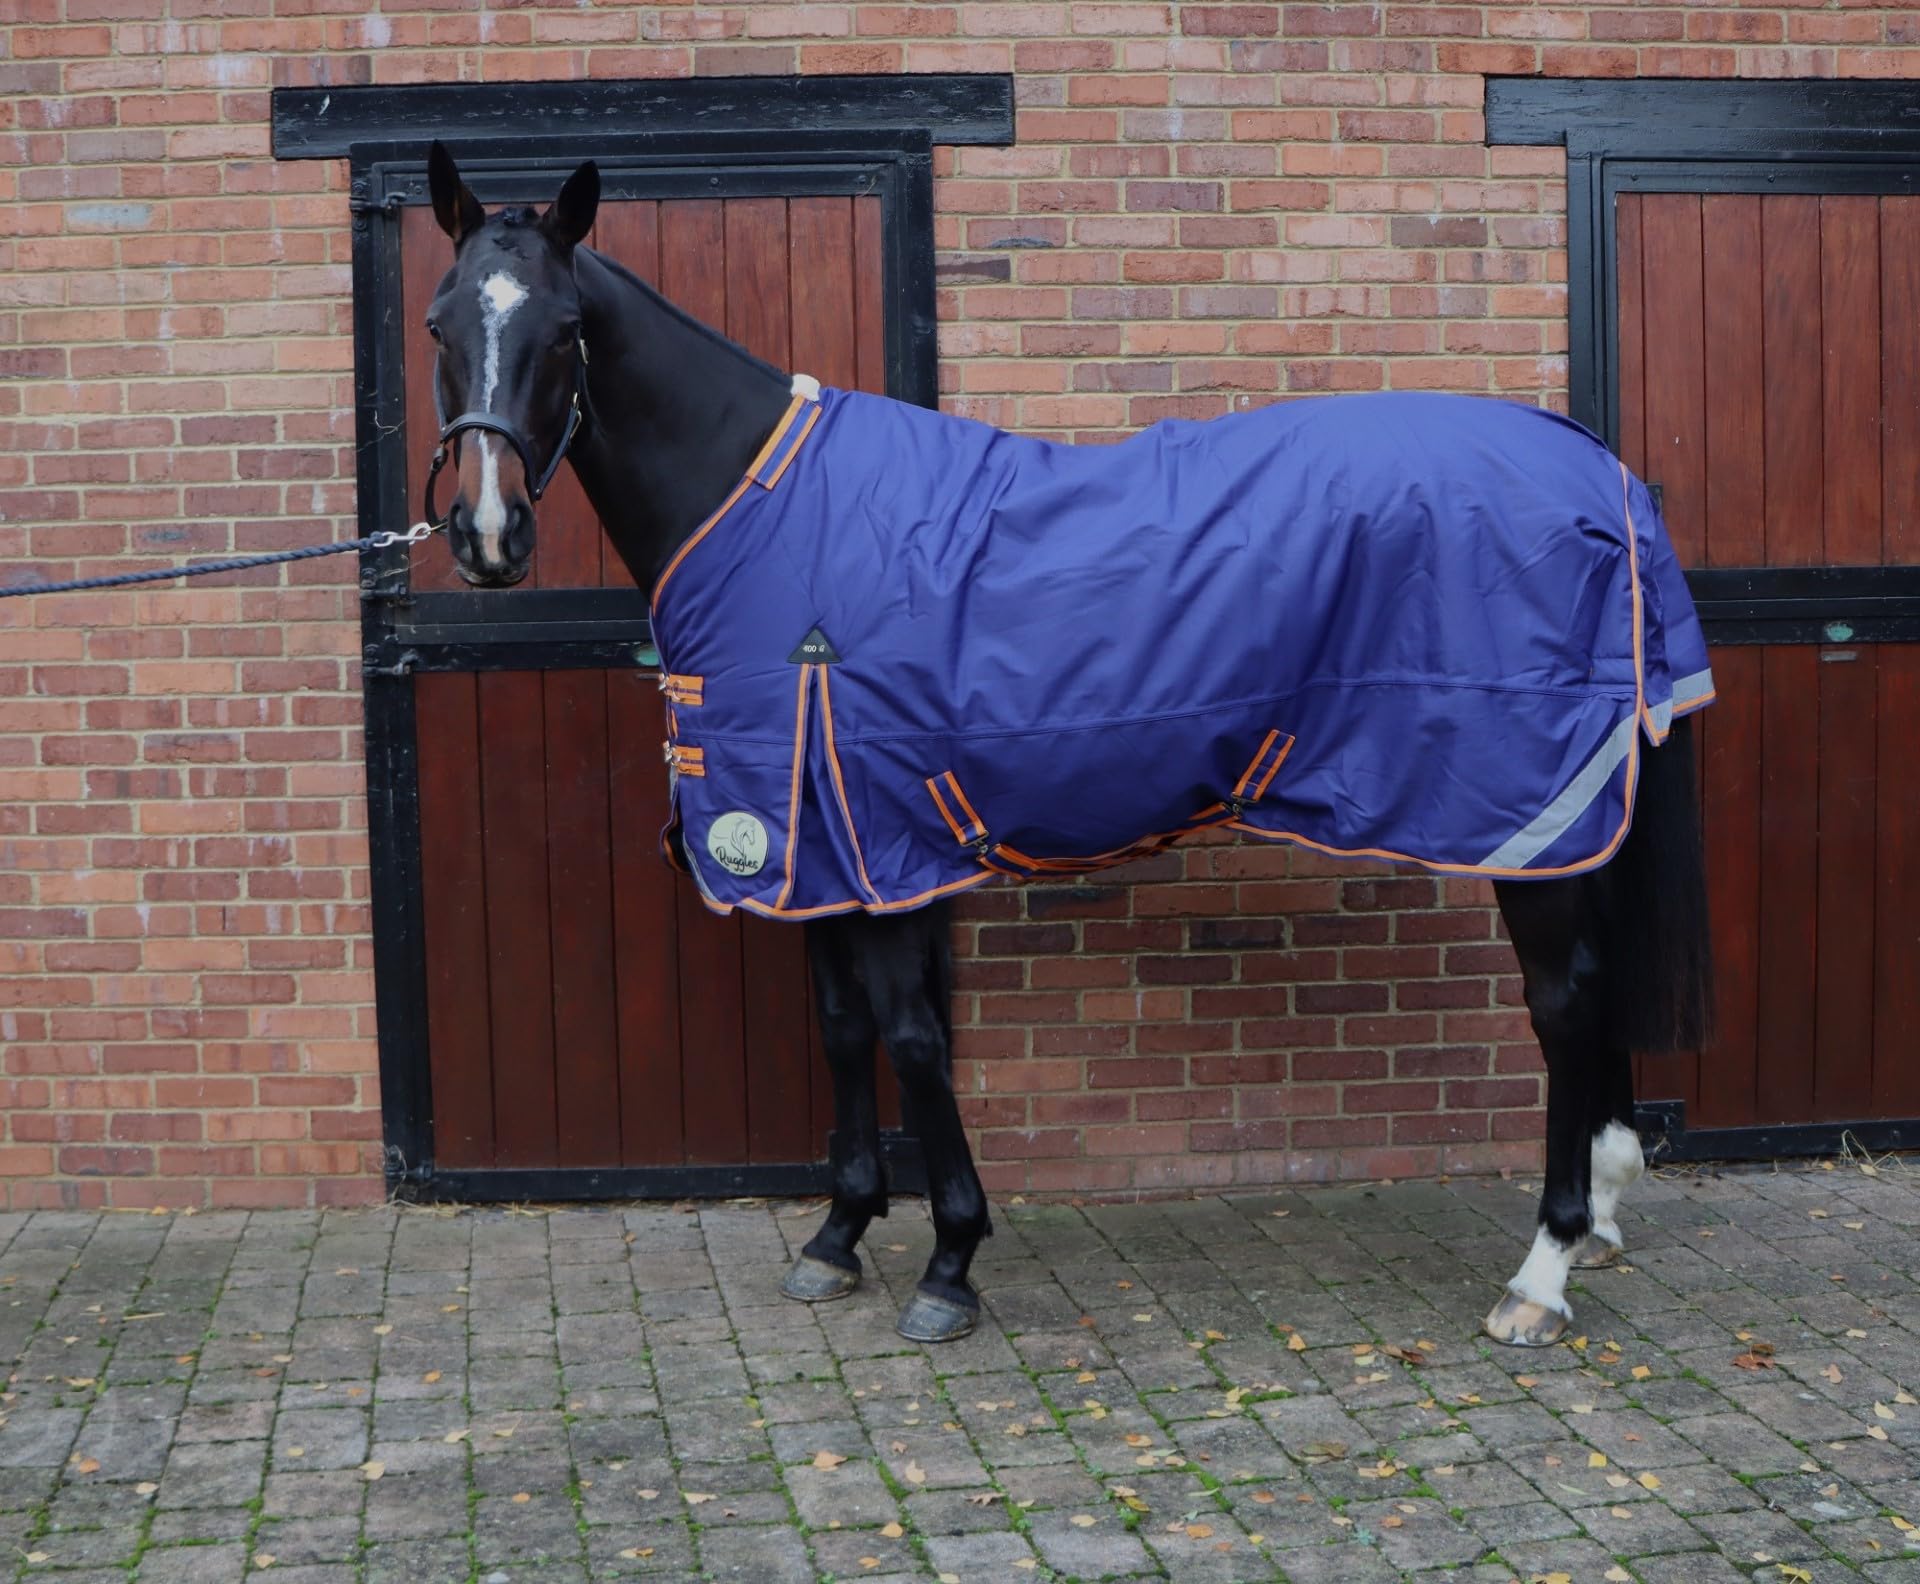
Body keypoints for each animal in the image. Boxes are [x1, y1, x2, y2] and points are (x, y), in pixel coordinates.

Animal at [417, 145, 1713, 1348]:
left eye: (566, 328)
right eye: (441, 322)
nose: (487, 533)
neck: (762, 506)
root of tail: (1594, 468)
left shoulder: (878, 833)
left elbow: (912, 1038)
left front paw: (949, 1261)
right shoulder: (806, 840)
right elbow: (842, 1030)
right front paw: (838, 1236)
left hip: (1526, 815)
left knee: (1563, 1001)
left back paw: (1541, 1272)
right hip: (1572, 819)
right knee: (1594, 988)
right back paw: (1599, 1214)